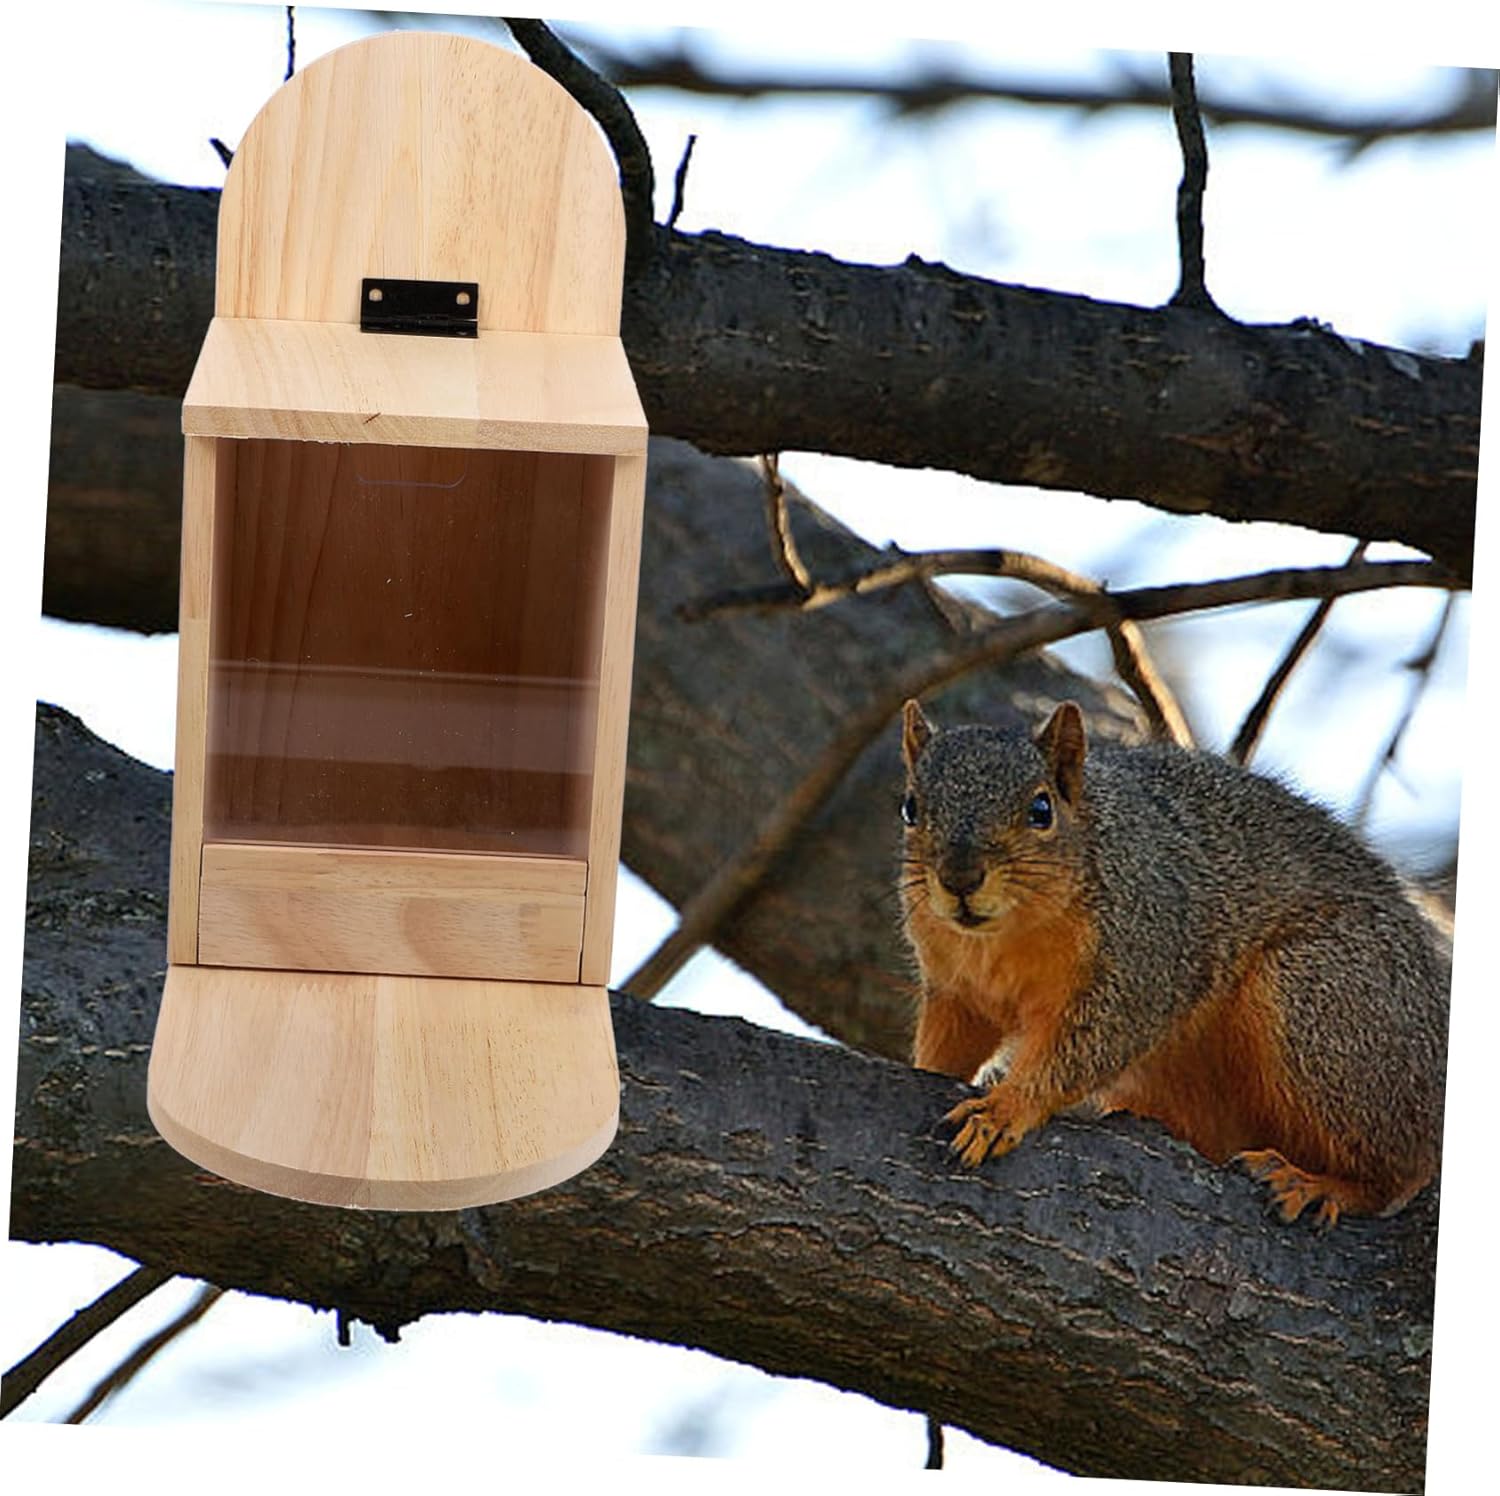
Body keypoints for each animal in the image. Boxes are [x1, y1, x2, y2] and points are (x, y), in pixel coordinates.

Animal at [898, 697, 1449, 1228]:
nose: (960, 877)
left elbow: (1083, 1050)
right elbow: (952, 1040)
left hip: (1326, 1000)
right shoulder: (956, 990)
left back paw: (1319, 1186)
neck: (999, 938)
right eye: (910, 807)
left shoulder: (1143, 960)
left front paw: (1002, 1109)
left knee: (1398, 1167)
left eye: (1041, 808)